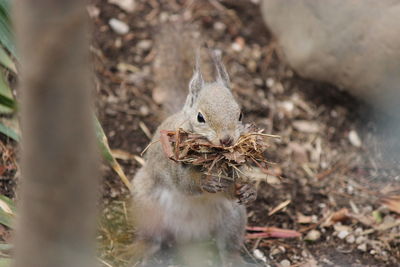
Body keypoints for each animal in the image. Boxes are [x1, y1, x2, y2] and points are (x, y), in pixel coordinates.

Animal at [130, 25, 256, 267]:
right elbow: (185, 183)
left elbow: (236, 184)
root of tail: (189, 234)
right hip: (146, 207)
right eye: (200, 117)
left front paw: (247, 189)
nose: (227, 140)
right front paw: (204, 181)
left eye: (240, 114)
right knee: (152, 238)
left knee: (228, 246)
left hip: (233, 218)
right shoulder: (173, 163)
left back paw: (233, 259)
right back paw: (140, 250)